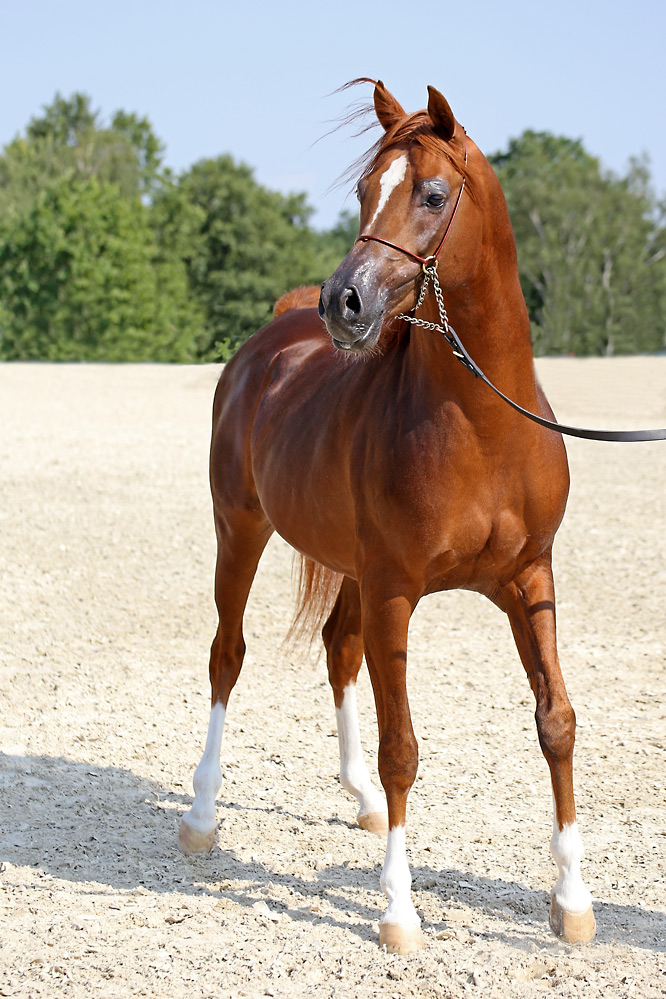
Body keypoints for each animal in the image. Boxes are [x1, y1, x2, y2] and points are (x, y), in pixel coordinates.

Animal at [175, 80, 592, 952]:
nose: (344, 301)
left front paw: (573, 899)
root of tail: (273, 332)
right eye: (366, 190)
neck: (480, 425)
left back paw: (360, 796)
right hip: (241, 532)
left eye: (432, 194)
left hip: (352, 568)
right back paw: (200, 814)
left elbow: (557, 721)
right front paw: (399, 910)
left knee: (338, 649)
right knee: (227, 656)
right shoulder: (398, 590)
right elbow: (404, 744)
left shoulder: (528, 579)